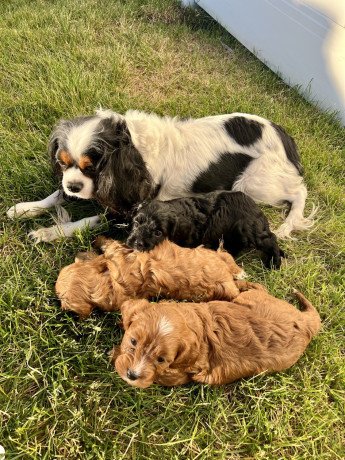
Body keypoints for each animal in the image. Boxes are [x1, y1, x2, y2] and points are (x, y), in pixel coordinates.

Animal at [6, 109, 314, 243]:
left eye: (91, 167)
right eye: (63, 162)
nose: (73, 185)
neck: (133, 147)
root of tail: (285, 138)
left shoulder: (129, 207)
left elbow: (81, 222)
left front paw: (48, 232)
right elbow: (55, 195)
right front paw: (25, 209)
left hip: (252, 182)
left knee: (300, 191)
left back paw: (288, 224)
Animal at [112, 290, 320, 386]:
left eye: (161, 360)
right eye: (133, 341)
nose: (132, 375)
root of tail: (306, 322)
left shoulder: (179, 375)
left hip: (250, 298)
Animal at [126, 191, 284, 270]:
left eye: (158, 233)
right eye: (136, 223)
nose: (137, 243)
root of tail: (254, 205)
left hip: (248, 229)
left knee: (270, 239)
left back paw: (274, 263)